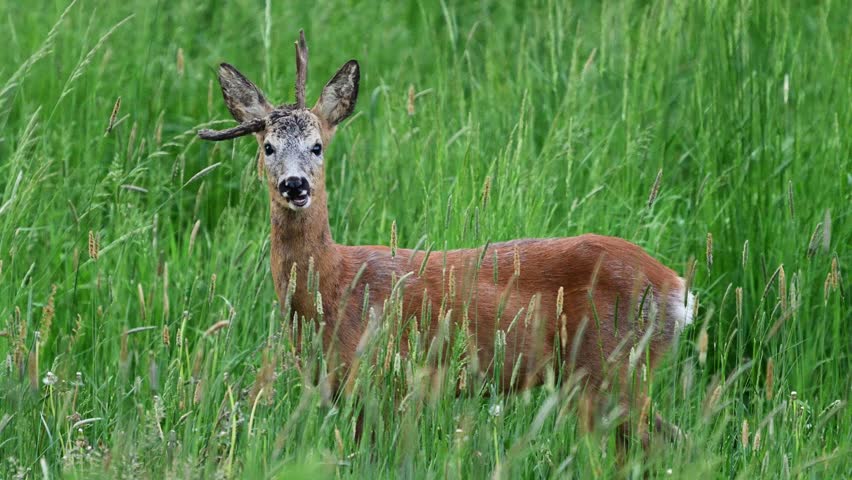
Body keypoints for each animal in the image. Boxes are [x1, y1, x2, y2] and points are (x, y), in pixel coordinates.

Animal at [198, 31, 695, 449]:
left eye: (317, 146)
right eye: (268, 147)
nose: (295, 185)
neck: (334, 285)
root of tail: (676, 288)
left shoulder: (384, 381)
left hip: (612, 371)